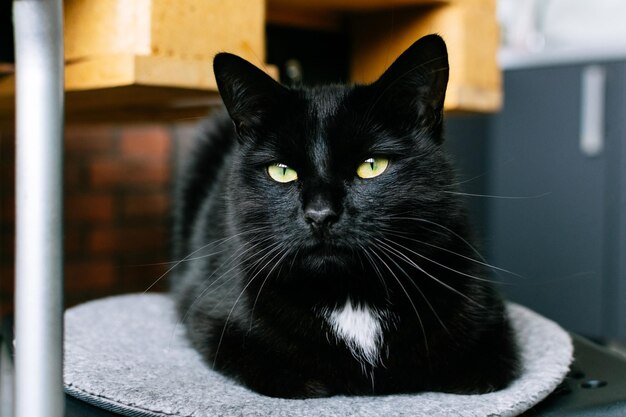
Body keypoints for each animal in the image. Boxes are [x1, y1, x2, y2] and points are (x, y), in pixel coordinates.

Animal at [171, 35, 516, 396]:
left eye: (372, 166)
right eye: (282, 171)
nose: (320, 214)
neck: (351, 294)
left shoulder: (493, 329)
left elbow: (475, 374)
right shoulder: (212, 317)